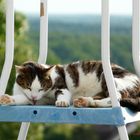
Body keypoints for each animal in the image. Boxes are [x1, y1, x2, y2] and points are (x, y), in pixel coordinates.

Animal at [0, 60, 140, 111]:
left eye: (41, 87)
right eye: (28, 86)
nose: (34, 97)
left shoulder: (61, 85)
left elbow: (63, 93)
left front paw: (62, 102)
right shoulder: (36, 100)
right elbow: (23, 99)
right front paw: (8, 99)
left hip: (110, 78)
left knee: (116, 97)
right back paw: (85, 101)